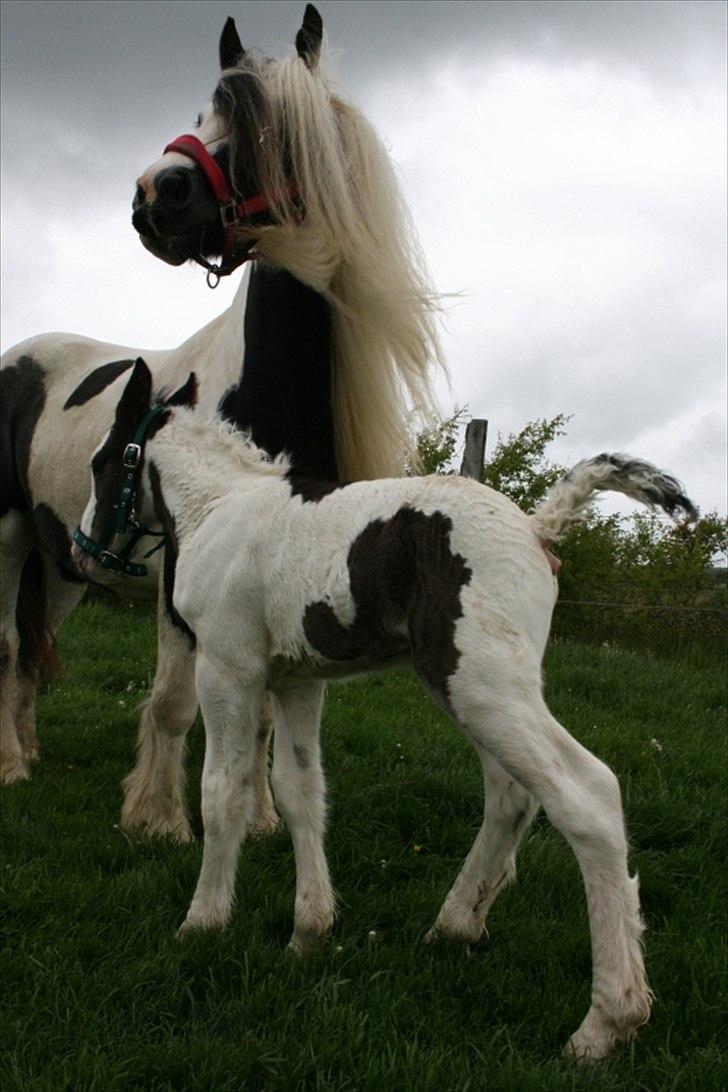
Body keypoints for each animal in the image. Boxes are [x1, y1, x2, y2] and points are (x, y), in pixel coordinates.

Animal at [0, 8, 445, 838]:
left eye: (270, 127)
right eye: (202, 112)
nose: (156, 196)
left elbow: (265, 713)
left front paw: (261, 817)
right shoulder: (183, 570)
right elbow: (175, 703)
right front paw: (157, 818)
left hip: (64, 560)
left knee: (32, 652)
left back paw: (28, 752)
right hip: (7, 534)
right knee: (8, 646)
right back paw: (11, 767)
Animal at [75, 355, 698, 1057]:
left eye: (103, 460)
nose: (82, 551)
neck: (220, 509)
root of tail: (536, 527)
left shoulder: (227, 669)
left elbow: (223, 792)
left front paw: (203, 922)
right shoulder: (296, 681)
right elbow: (299, 791)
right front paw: (308, 932)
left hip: (477, 684)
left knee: (586, 794)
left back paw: (605, 1021)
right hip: (487, 687)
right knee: (512, 794)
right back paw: (455, 926)